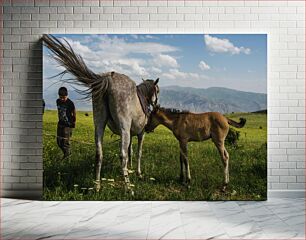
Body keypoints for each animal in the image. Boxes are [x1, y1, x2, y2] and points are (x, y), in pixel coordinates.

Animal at [43, 34, 160, 191]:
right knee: (122, 155)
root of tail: (107, 79)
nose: (156, 104)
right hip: (123, 129)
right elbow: (137, 153)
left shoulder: (131, 133)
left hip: (99, 124)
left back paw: (97, 186)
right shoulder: (140, 133)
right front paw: (138, 173)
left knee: (99, 153)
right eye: (157, 91)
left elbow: (131, 151)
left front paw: (129, 169)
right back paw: (128, 187)